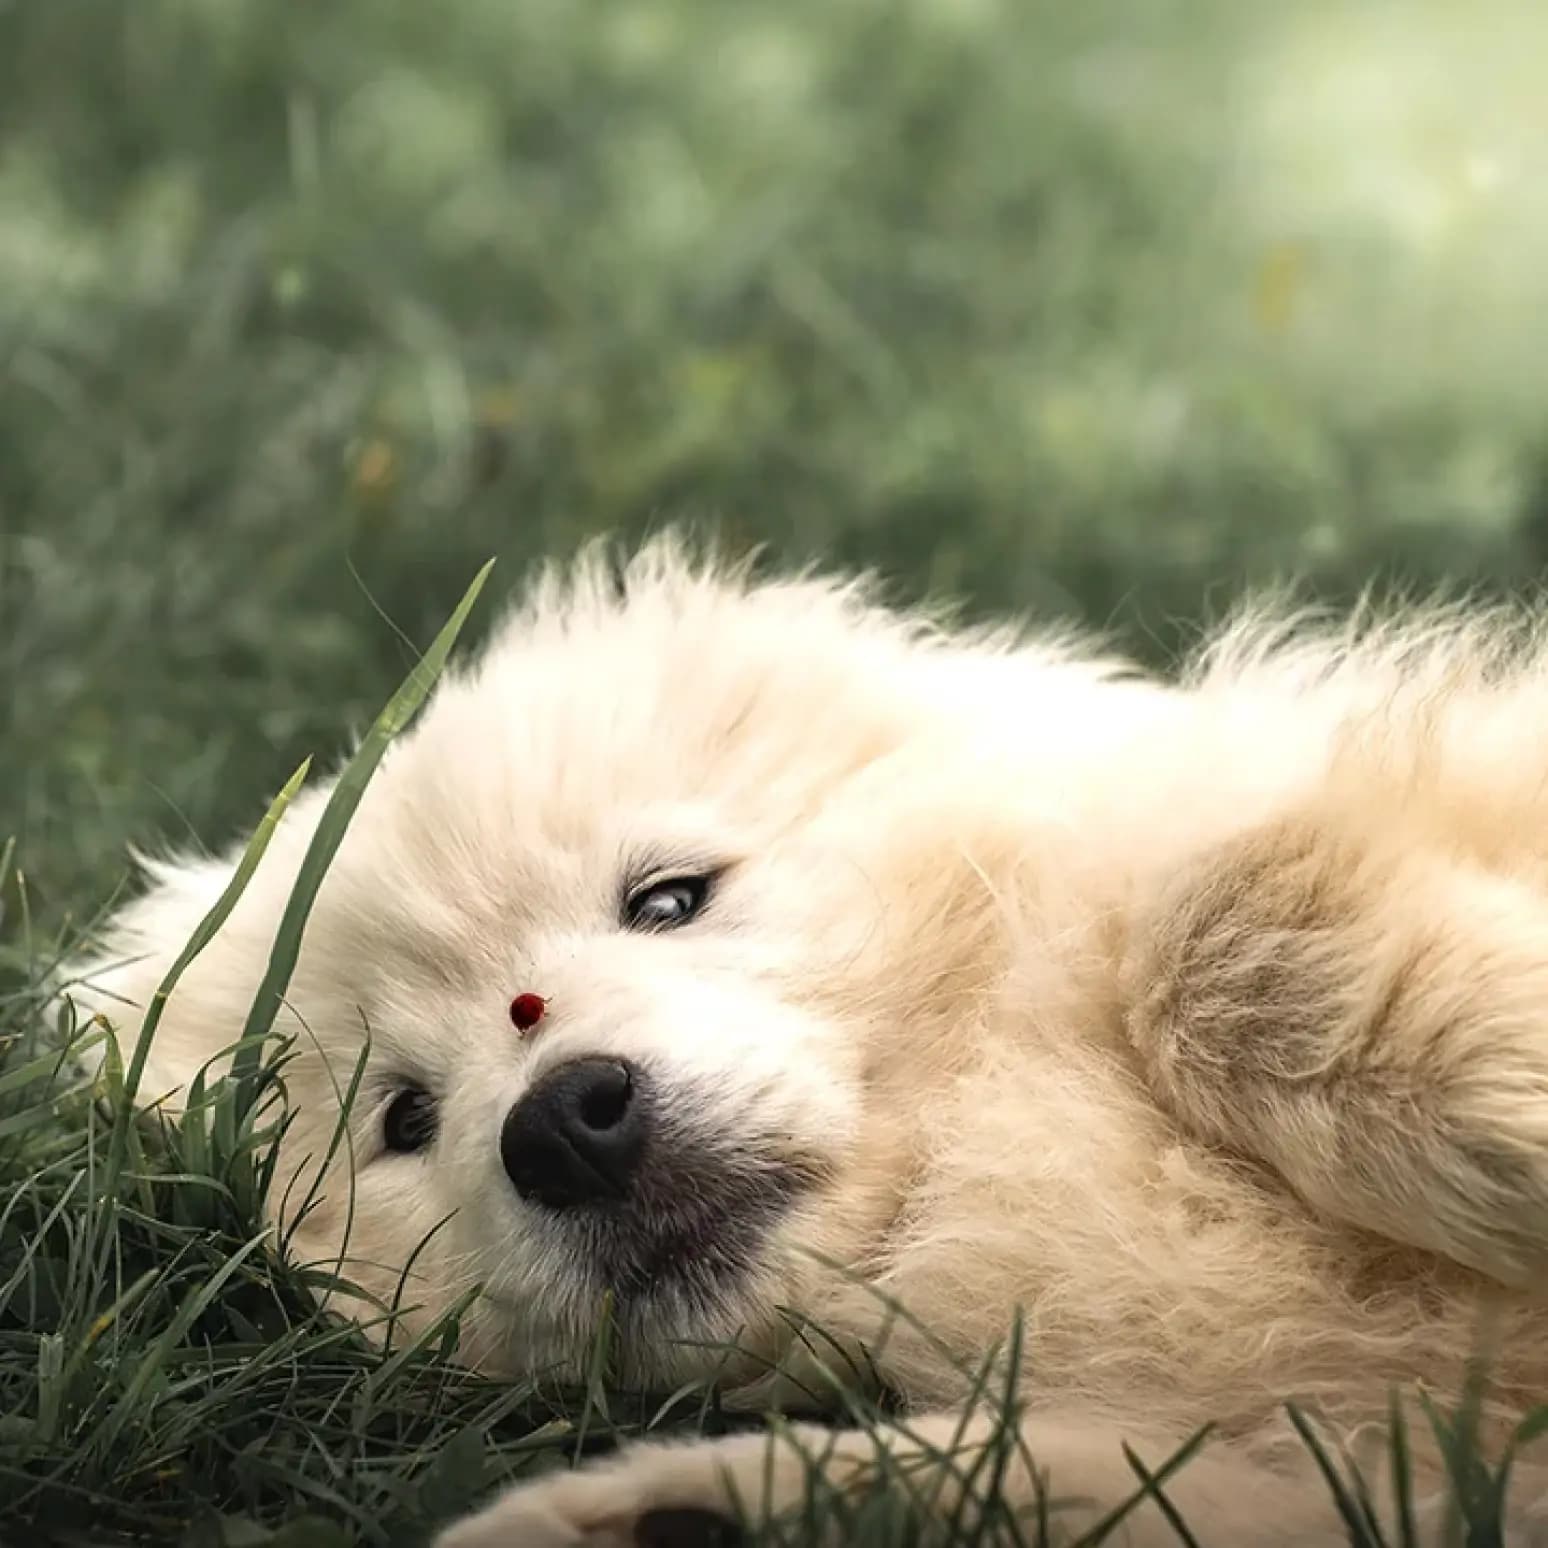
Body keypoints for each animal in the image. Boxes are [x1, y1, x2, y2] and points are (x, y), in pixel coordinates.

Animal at [66, 538, 1548, 1541]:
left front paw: (1517, 1104)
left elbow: (1222, 927)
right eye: (405, 1119)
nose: (564, 1124)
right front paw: (701, 1511)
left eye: (667, 898)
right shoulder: (1362, 1468)